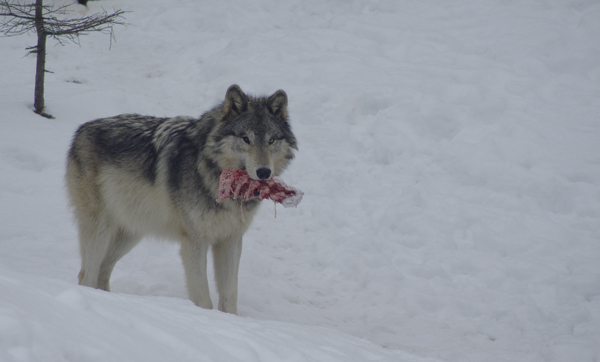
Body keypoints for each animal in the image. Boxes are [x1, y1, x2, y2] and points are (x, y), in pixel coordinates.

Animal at [65, 85, 298, 314]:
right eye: (246, 138)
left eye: (271, 140)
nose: (264, 172)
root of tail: (81, 130)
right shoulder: (195, 241)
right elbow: (203, 298)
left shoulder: (230, 240)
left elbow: (229, 297)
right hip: (101, 230)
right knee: (87, 274)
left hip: (130, 233)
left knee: (102, 271)